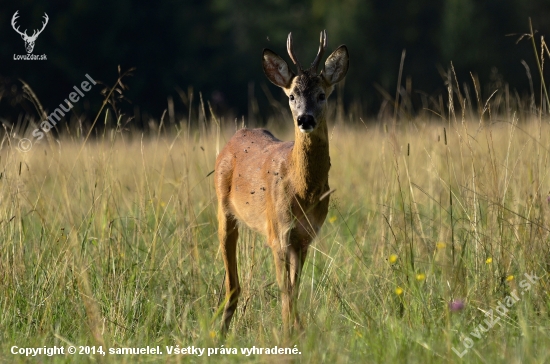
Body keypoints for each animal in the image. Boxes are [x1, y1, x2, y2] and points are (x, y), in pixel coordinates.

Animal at [216, 29, 350, 334]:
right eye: (291, 96)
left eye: (322, 94)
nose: (305, 119)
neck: (303, 190)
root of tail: (234, 138)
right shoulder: (278, 233)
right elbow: (285, 290)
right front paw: (289, 332)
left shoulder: (305, 237)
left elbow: (295, 288)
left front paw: (297, 329)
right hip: (223, 210)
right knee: (232, 282)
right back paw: (220, 331)